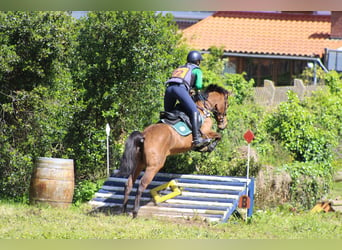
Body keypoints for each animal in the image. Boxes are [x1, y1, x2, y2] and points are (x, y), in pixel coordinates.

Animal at [117, 83, 230, 217]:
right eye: (227, 104)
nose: (223, 124)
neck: (203, 107)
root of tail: (144, 135)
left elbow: (218, 136)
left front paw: (204, 147)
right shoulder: (206, 132)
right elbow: (218, 136)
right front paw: (207, 147)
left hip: (139, 164)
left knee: (129, 183)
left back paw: (123, 210)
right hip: (154, 166)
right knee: (141, 185)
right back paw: (135, 212)